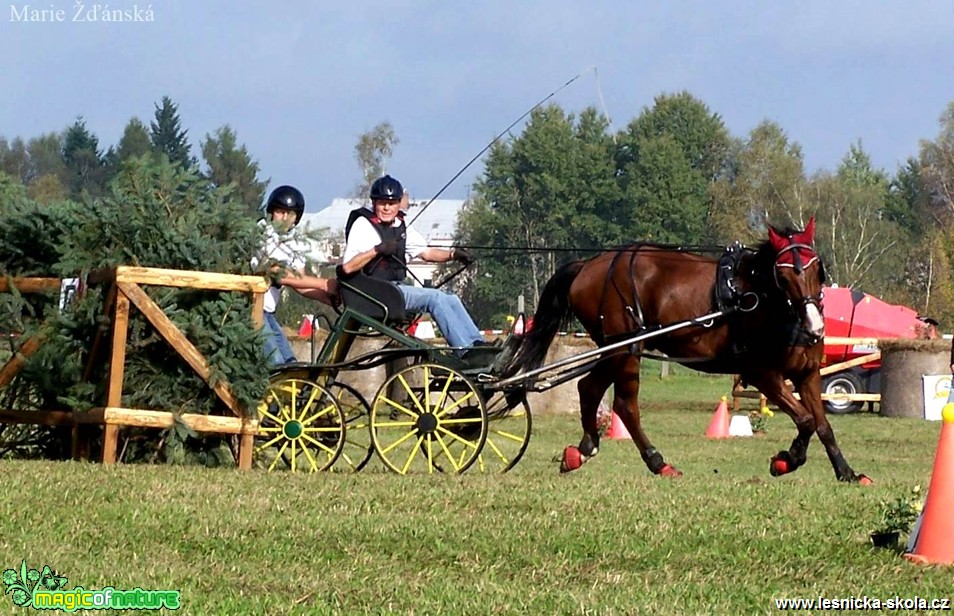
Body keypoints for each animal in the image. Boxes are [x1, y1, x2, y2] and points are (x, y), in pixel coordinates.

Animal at [506, 219, 872, 484]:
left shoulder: (808, 374)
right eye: (782, 276)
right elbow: (806, 420)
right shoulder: (763, 374)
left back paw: (582, 451)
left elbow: (822, 425)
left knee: (589, 387)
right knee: (625, 405)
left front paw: (848, 473)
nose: (814, 326)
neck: (764, 300)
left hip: (617, 350)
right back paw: (657, 462)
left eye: (816, 268)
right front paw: (786, 461)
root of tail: (587, 265)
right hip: (626, 349)